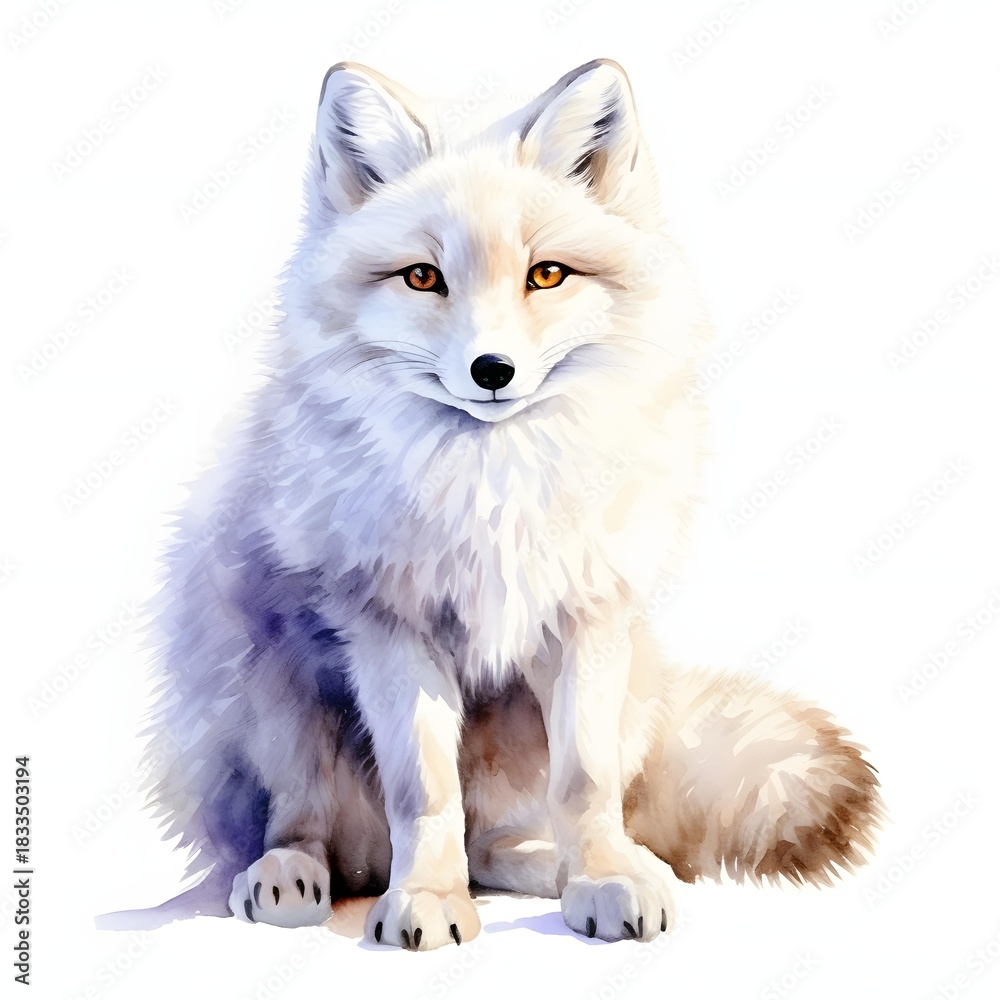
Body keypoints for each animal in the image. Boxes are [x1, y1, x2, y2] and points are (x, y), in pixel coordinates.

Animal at [100, 59, 883, 950]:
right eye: (422, 276)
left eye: (547, 274)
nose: (492, 371)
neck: (491, 485)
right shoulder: (390, 626)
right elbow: (424, 793)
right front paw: (427, 901)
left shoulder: (587, 618)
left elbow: (586, 784)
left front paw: (604, 880)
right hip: (269, 688)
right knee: (306, 820)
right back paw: (291, 876)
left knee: (499, 844)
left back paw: (580, 867)